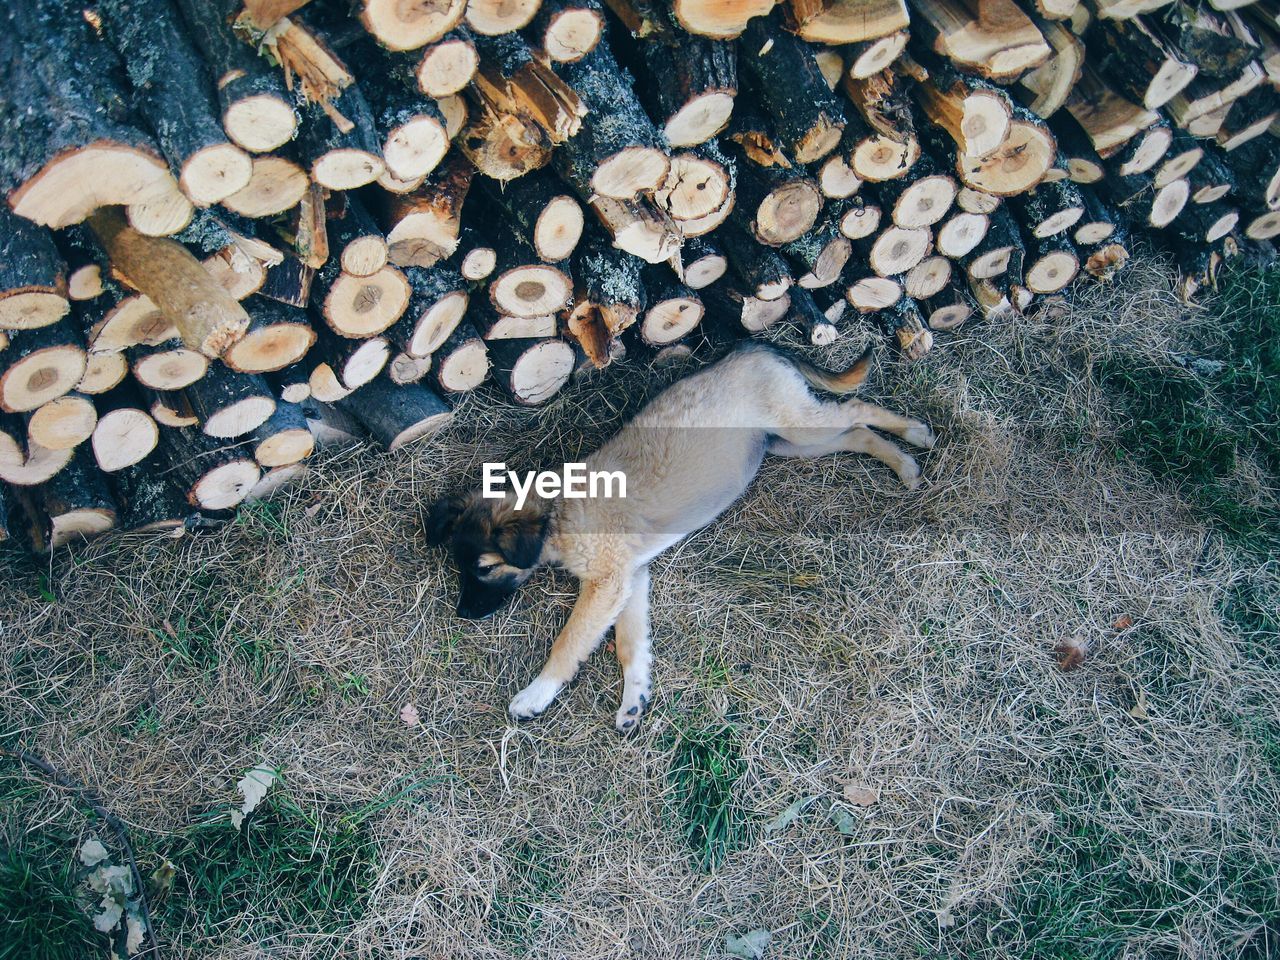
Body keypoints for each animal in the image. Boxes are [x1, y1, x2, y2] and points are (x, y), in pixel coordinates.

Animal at [424, 343, 936, 732]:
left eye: (485, 568)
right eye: (459, 565)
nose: (463, 614)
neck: (559, 512)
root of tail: (751, 349)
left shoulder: (606, 584)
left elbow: (568, 643)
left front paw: (535, 694)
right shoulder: (630, 579)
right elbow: (631, 645)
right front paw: (634, 699)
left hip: (798, 425)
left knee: (857, 410)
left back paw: (916, 434)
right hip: (790, 444)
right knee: (857, 432)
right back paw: (904, 464)